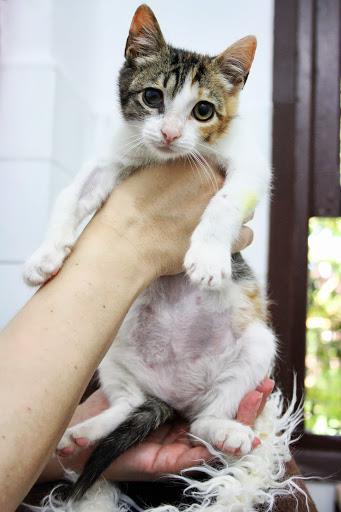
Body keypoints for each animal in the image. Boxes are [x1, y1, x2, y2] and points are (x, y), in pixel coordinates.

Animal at [23, 4, 274, 506]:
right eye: (152, 97)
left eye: (203, 110)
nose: (171, 134)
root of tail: (176, 398)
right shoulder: (113, 155)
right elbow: (71, 193)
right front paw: (46, 255)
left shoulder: (249, 164)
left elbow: (225, 201)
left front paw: (209, 257)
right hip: (110, 347)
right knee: (131, 402)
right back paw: (84, 431)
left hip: (258, 346)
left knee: (202, 419)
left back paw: (226, 430)